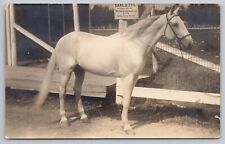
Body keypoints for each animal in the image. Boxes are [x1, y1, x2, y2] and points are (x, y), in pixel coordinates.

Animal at [34, 5, 193, 134]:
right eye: (175, 24)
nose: (190, 44)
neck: (134, 44)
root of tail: (62, 39)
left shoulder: (134, 78)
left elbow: (127, 100)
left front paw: (125, 125)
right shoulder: (127, 78)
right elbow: (126, 102)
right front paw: (127, 128)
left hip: (80, 71)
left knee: (77, 90)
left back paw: (84, 116)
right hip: (66, 72)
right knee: (62, 92)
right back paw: (64, 120)